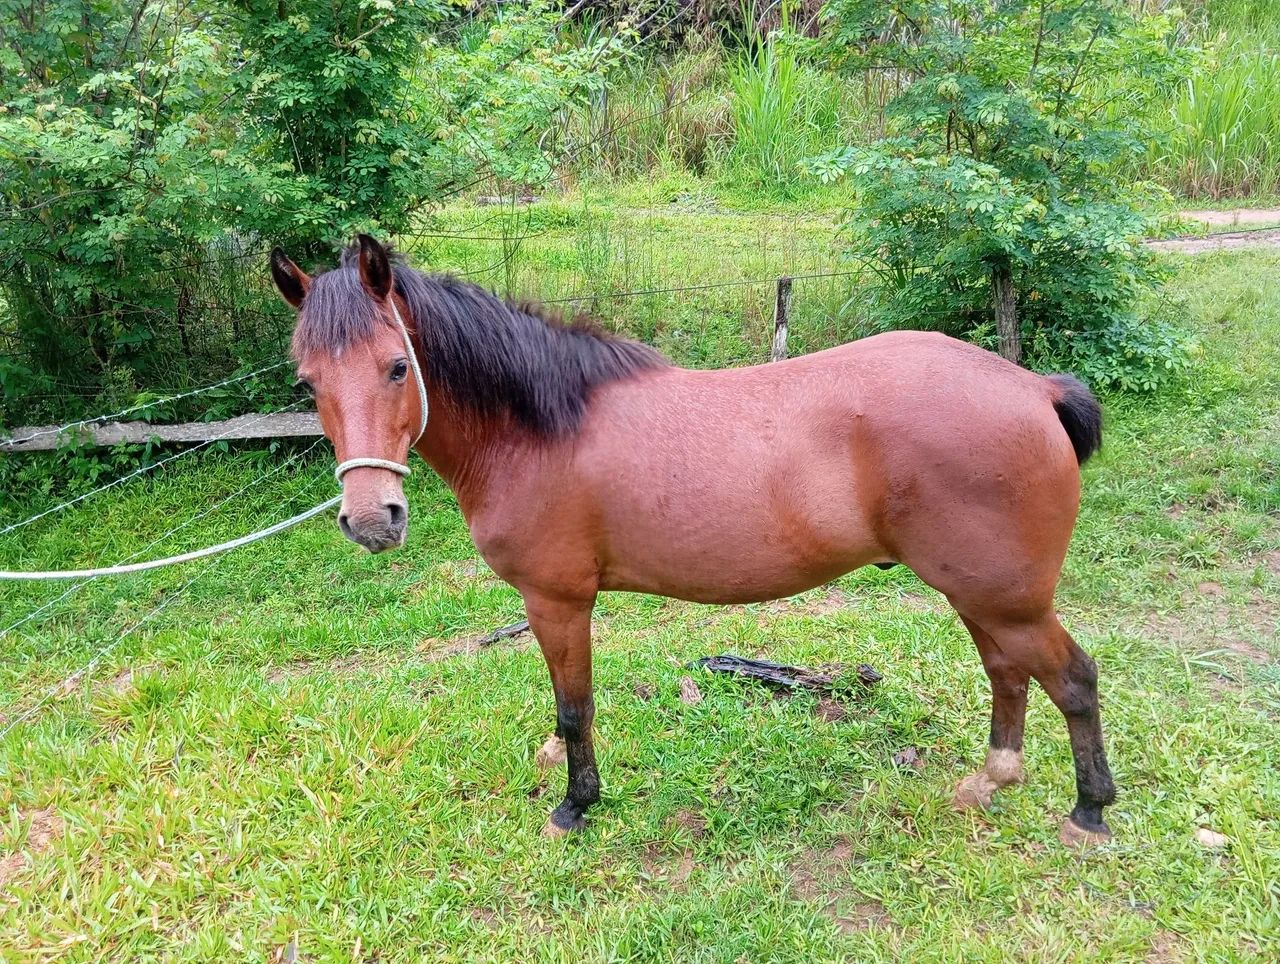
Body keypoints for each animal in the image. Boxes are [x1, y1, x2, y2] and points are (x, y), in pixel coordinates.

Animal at [271, 234, 1116, 848]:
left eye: (397, 367)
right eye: (309, 383)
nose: (372, 518)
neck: (540, 429)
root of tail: (1034, 387)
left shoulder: (557, 601)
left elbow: (574, 707)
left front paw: (576, 804)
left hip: (1003, 598)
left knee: (1072, 679)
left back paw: (1089, 812)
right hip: (983, 595)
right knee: (1009, 676)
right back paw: (988, 783)